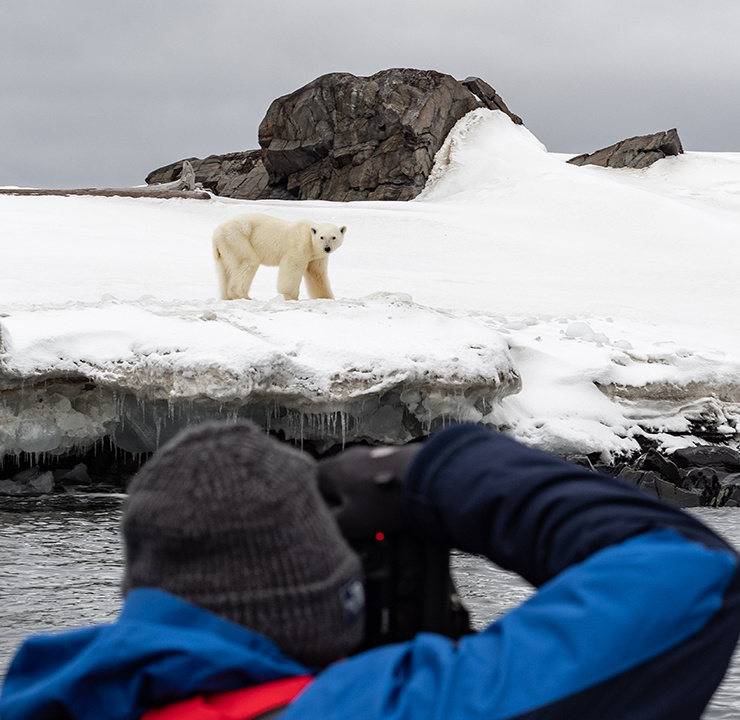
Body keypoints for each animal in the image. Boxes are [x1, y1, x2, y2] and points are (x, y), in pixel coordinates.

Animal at [210, 211, 346, 300]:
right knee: (247, 262)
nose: (327, 248)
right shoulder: (300, 245)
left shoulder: (317, 256)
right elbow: (293, 267)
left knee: (225, 271)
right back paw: (243, 296)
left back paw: (227, 297)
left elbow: (317, 273)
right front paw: (290, 296)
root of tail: (216, 232)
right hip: (238, 238)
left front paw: (326, 297)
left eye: (333, 237)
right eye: (322, 237)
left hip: (225, 248)